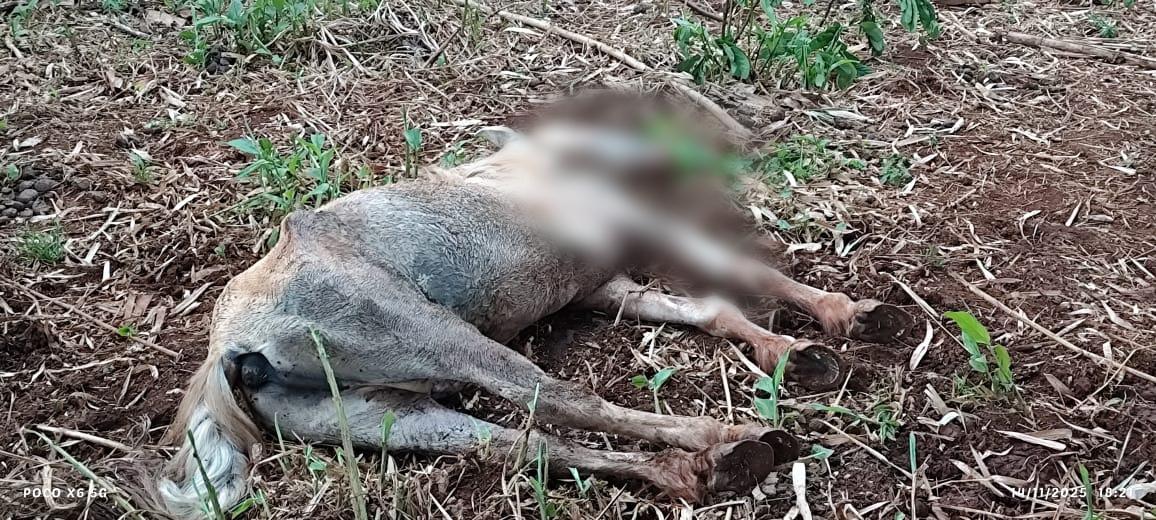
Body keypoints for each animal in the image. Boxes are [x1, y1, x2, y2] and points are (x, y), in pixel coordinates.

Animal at [156, 97, 909, 518]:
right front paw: (843, 318)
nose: (736, 139)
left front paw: (790, 351)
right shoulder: (635, 223)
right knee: (560, 402)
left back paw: (701, 470)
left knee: (524, 445)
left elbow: (705, 310)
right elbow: (738, 273)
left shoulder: (608, 288)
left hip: (383, 416)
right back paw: (728, 438)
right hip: (439, 337)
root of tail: (229, 345)